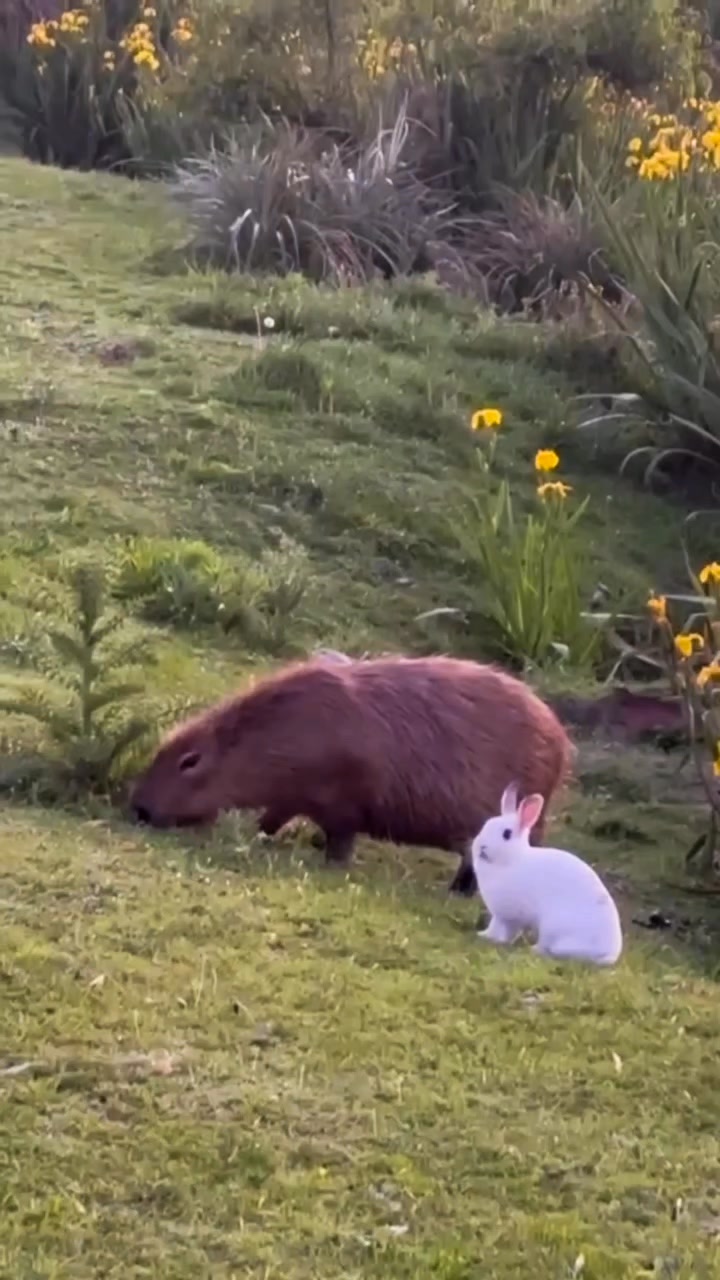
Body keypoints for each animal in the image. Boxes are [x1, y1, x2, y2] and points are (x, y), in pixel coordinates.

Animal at [470, 782, 623, 967]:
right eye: (486, 824)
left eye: (506, 834)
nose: (481, 846)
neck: (513, 859)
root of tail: (609, 954)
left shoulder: (507, 917)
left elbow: (501, 929)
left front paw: (487, 937)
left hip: (552, 928)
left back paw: (534, 950)